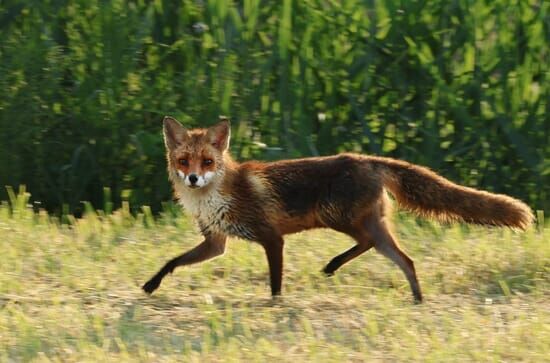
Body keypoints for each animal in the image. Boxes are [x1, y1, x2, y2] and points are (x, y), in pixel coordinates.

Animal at [142, 116, 536, 304]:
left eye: (208, 162)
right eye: (184, 161)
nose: (193, 178)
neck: (216, 197)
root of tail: (367, 159)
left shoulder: (272, 238)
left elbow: (275, 282)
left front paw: (276, 306)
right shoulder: (216, 242)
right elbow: (172, 261)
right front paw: (150, 285)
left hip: (339, 217)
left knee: (379, 249)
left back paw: (340, 268)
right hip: (363, 223)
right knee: (402, 258)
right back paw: (413, 298)